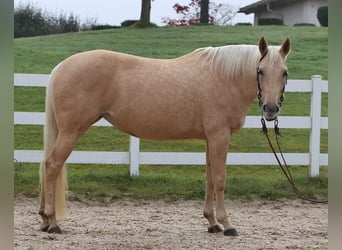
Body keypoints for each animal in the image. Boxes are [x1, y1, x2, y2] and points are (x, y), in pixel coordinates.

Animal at [39, 36, 292, 235]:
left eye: (284, 73)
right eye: (260, 71)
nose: (271, 109)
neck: (224, 77)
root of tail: (60, 67)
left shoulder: (210, 138)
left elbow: (209, 178)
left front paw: (212, 223)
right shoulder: (220, 136)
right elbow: (220, 179)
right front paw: (227, 224)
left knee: (46, 165)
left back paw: (43, 219)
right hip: (71, 131)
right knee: (52, 165)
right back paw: (52, 222)